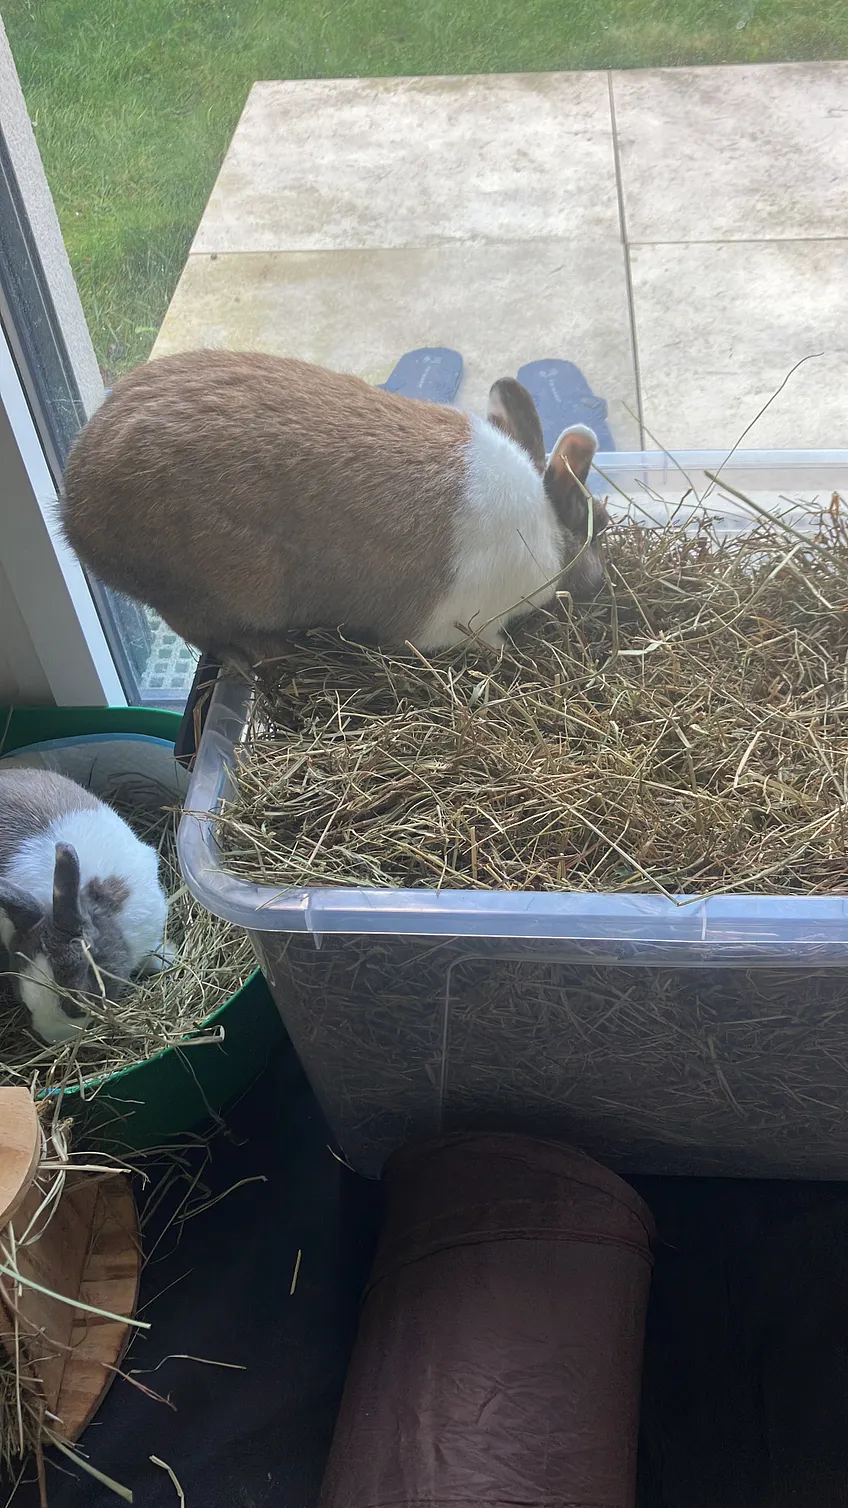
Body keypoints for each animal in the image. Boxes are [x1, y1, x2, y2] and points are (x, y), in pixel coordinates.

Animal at [60, 350, 609, 663]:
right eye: (600, 525)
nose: (602, 581)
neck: (543, 529)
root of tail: (73, 513)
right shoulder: (454, 624)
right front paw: (502, 652)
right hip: (224, 591)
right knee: (202, 630)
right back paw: (270, 651)